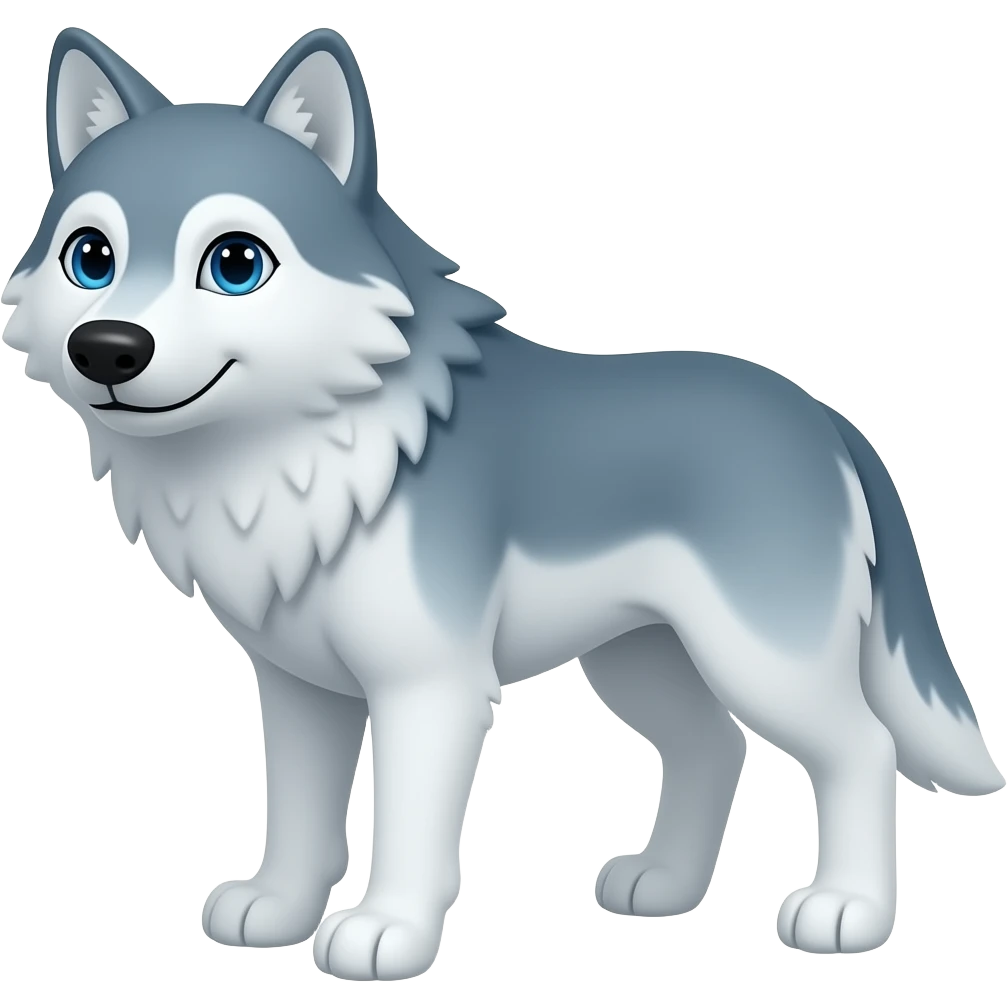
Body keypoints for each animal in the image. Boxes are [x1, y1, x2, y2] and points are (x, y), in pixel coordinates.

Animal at [2, 24, 1001, 980]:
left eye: (236, 263)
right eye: (91, 258)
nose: (107, 347)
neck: (306, 449)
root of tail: (823, 416)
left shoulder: (429, 687)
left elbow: (406, 827)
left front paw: (387, 934)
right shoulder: (298, 690)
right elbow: (300, 816)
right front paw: (278, 912)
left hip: (763, 658)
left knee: (863, 749)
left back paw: (847, 913)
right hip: (641, 659)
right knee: (714, 748)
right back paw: (663, 886)